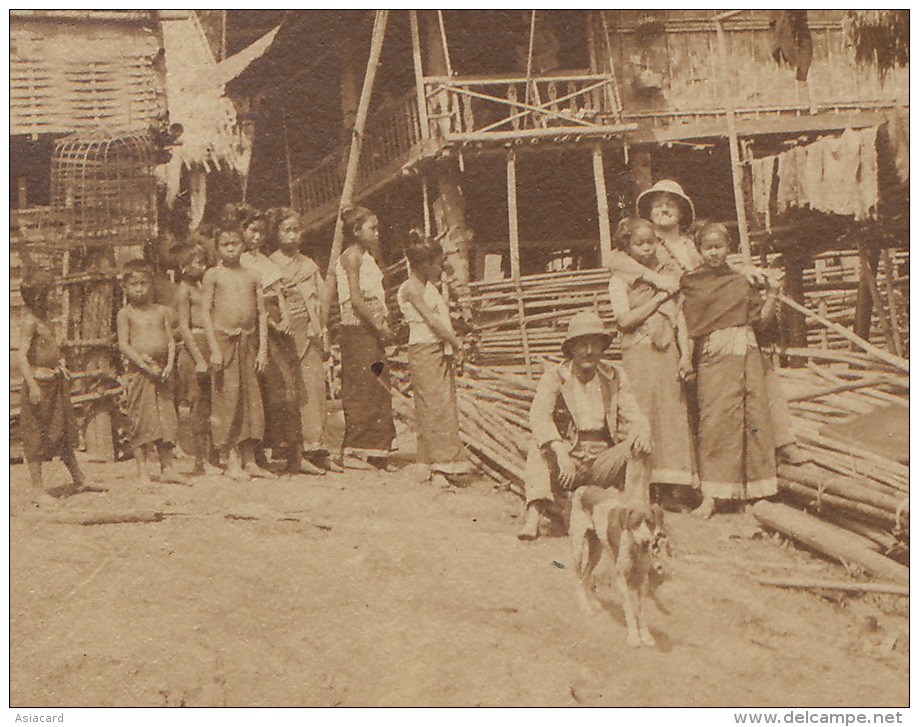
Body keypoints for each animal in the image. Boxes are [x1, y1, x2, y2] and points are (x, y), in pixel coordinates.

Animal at [568, 486, 668, 644]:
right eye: (636, 523)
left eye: (651, 523)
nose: (646, 541)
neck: (634, 549)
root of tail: (583, 488)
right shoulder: (621, 580)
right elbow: (629, 610)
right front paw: (634, 637)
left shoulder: (643, 581)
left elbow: (642, 612)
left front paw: (646, 636)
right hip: (578, 548)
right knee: (578, 579)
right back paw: (585, 607)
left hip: (596, 550)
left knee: (586, 576)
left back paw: (593, 602)